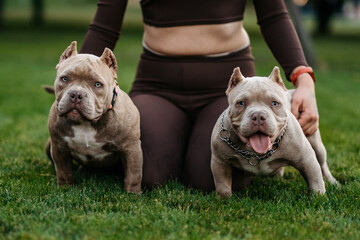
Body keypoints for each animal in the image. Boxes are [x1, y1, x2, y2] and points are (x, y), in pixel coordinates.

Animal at [46, 42, 143, 194]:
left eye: (97, 84)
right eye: (65, 78)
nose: (76, 94)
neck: (86, 123)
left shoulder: (131, 148)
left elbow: (133, 175)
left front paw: (133, 194)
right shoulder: (58, 147)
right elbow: (63, 172)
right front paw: (65, 188)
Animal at [210, 66, 338, 198]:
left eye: (275, 103)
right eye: (241, 103)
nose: (258, 116)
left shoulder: (306, 159)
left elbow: (315, 180)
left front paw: (318, 197)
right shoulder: (220, 162)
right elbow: (223, 186)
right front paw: (225, 199)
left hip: (316, 144)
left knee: (322, 164)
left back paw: (333, 182)